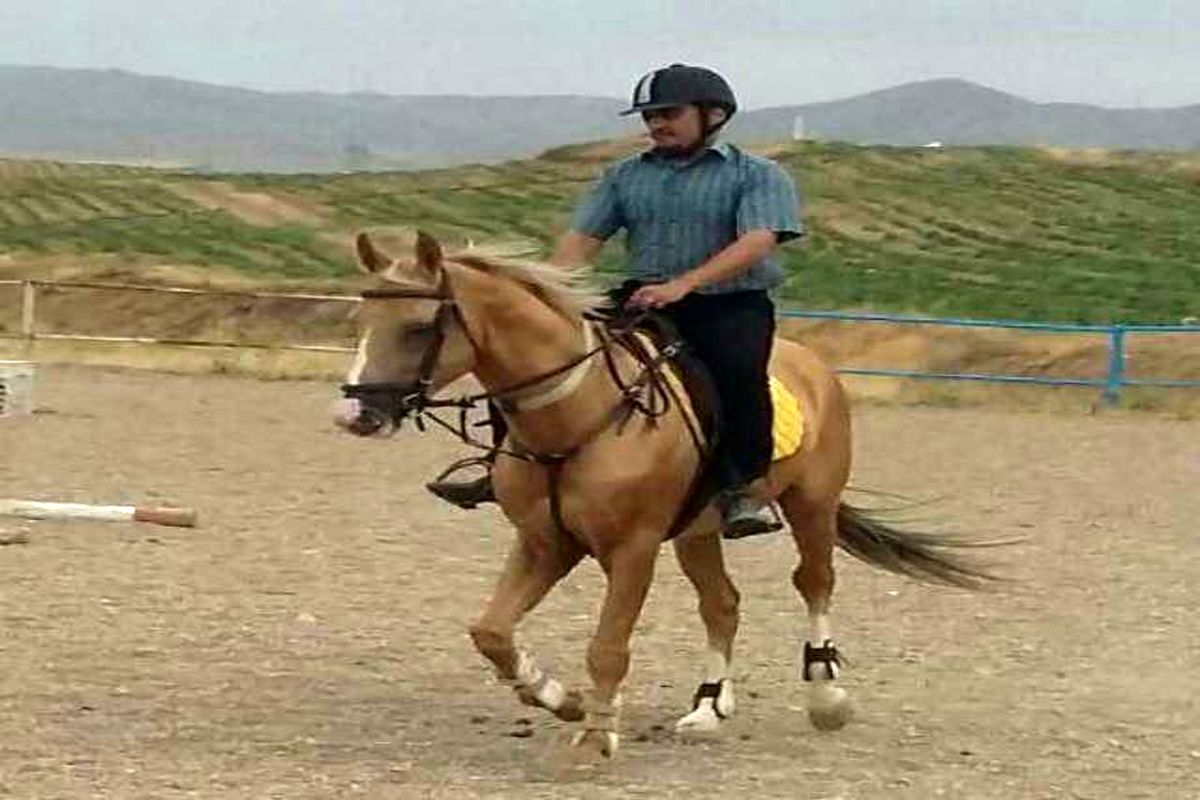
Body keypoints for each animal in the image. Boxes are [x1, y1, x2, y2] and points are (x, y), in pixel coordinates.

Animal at [333, 230, 988, 762]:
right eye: (359, 326)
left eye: (419, 327)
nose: (355, 415)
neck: (580, 415)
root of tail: (812, 363)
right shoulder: (545, 542)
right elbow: (491, 631)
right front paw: (561, 699)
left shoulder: (633, 549)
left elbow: (608, 647)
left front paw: (595, 739)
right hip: (699, 531)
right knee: (722, 604)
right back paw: (708, 708)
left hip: (812, 505)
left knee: (814, 582)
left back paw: (826, 697)